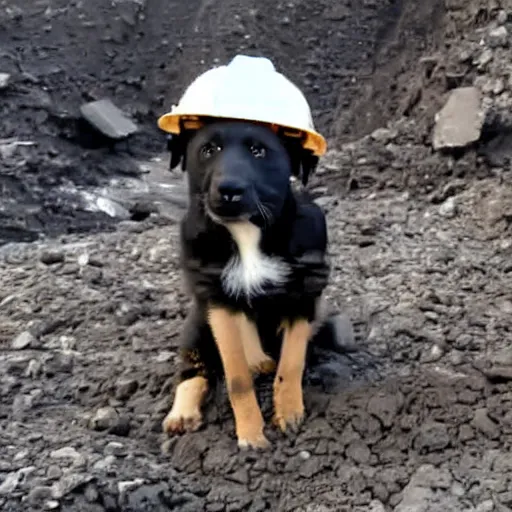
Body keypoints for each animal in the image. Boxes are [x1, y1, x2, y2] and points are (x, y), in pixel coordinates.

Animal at [162, 120, 334, 448]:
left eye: (258, 151)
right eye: (209, 150)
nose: (229, 191)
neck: (247, 232)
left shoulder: (303, 295)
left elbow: (291, 363)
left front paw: (290, 414)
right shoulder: (218, 301)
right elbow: (237, 378)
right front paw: (251, 436)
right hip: (197, 323)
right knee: (193, 369)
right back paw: (183, 412)